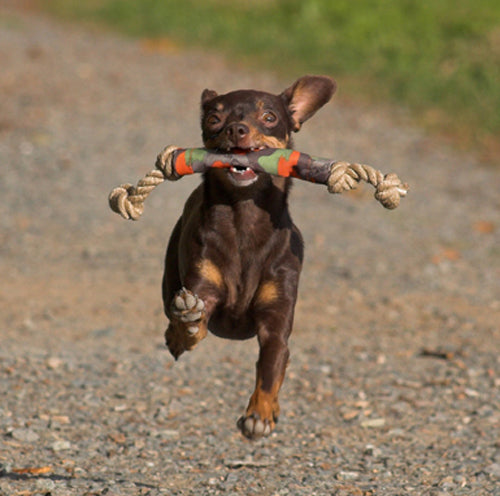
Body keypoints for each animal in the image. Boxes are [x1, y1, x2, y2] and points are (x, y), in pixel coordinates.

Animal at [160, 75, 336, 440]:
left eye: (269, 116)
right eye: (214, 118)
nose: (237, 129)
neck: (245, 217)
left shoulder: (276, 326)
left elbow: (270, 369)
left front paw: (260, 414)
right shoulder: (205, 292)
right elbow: (194, 327)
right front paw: (186, 325)